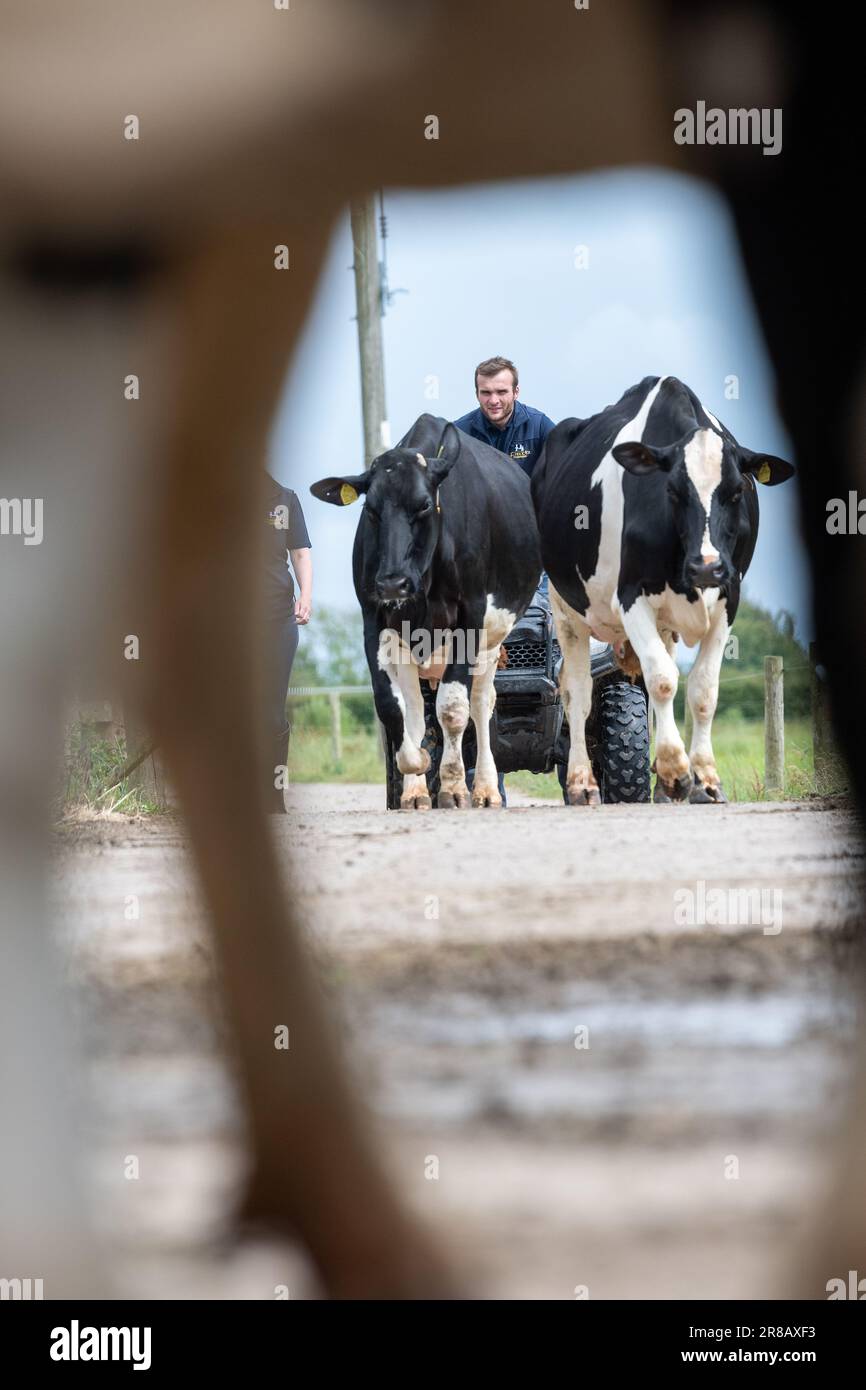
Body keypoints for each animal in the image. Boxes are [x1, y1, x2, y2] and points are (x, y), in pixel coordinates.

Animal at [311, 405, 542, 811]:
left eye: (422, 505)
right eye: (371, 510)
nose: (393, 582)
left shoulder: (470, 618)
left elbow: (453, 708)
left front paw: (453, 787)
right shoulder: (374, 618)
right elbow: (394, 707)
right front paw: (414, 766)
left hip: (492, 640)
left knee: (481, 703)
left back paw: (484, 789)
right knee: (419, 706)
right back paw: (419, 786)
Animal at [530, 378, 795, 806]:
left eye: (737, 491)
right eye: (673, 490)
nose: (706, 567)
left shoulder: (729, 599)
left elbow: (702, 689)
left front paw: (704, 779)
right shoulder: (631, 596)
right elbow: (663, 680)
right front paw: (674, 770)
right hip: (566, 609)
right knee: (577, 693)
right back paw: (582, 783)